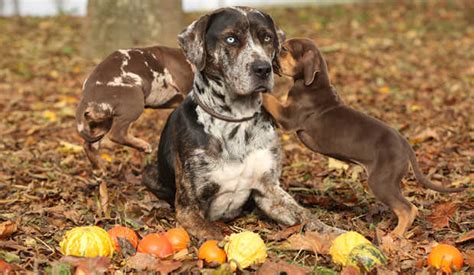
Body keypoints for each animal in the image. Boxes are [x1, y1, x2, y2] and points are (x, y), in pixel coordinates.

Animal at [142, 5, 344, 239]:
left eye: (267, 37)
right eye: (231, 39)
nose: (263, 68)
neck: (236, 121)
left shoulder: (269, 192)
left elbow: (306, 216)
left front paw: (335, 232)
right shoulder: (188, 208)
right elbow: (215, 236)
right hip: (150, 173)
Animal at [262, 38, 464, 237]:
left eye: (284, 49)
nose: (270, 60)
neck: (313, 83)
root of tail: (404, 143)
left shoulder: (287, 117)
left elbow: (270, 98)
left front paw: (260, 90)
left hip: (380, 182)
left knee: (407, 209)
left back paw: (394, 235)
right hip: (392, 182)